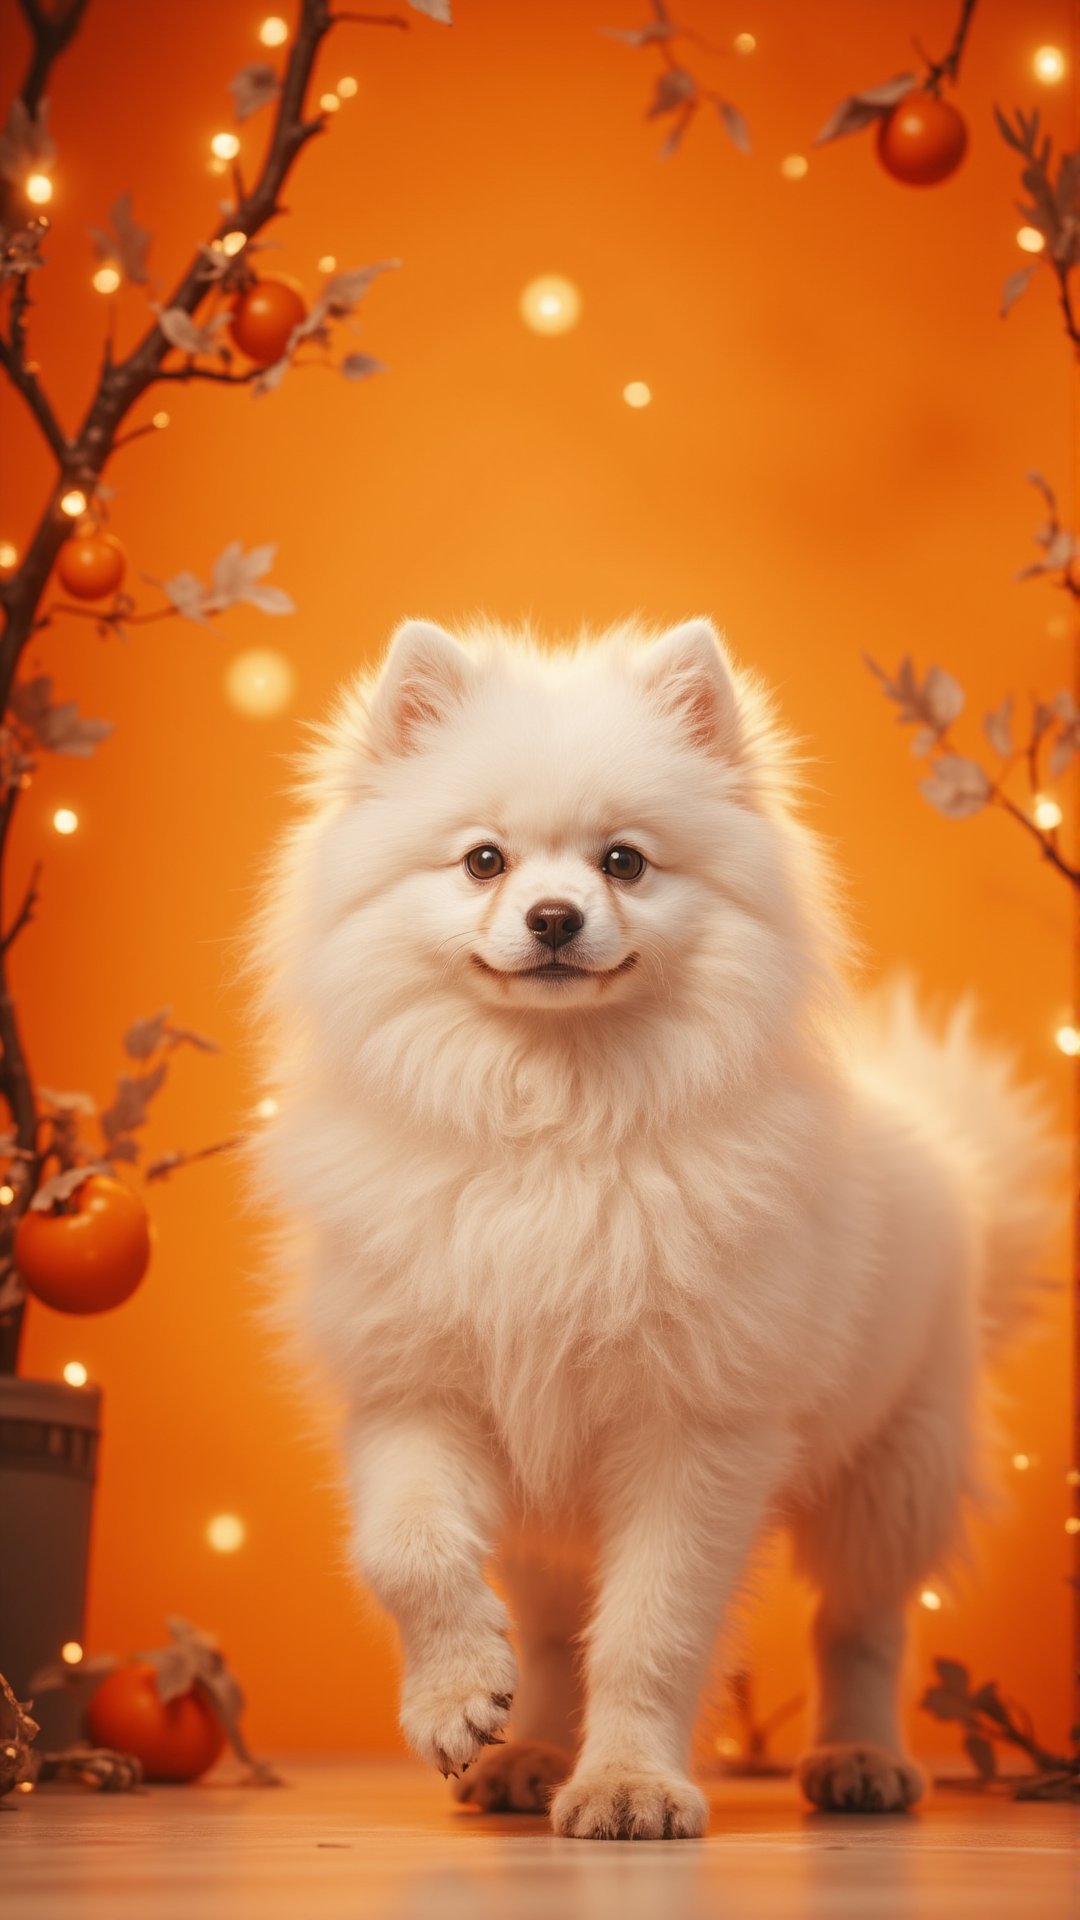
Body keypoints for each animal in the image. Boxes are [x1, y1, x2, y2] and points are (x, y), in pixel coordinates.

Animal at [245, 618, 1053, 1843]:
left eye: (624, 862)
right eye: (484, 861)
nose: (554, 917)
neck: (555, 1116)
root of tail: (946, 1148)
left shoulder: (694, 1430)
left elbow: (648, 1629)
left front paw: (629, 1785)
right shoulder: (417, 1390)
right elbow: (410, 1556)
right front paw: (454, 1699)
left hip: (891, 1469)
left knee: (860, 1626)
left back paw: (861, 1759)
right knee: (547, 1631)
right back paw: (529, 1752)